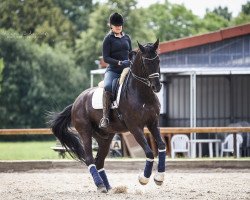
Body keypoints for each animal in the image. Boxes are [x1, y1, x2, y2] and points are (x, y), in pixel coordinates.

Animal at [48, 38, 166, 192]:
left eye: (158, 60)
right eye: (145, 63)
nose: (156, 87)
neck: (143, 95)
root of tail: (76, 102)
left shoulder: (153, 123)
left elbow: (162, 145)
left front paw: (159, 178)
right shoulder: (135, 128)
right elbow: (150, 152)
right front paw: (143, 178)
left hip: (105, 137)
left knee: (99, 160)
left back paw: (107, 186)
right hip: (85, 132)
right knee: (90, 159)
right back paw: (100, 185)